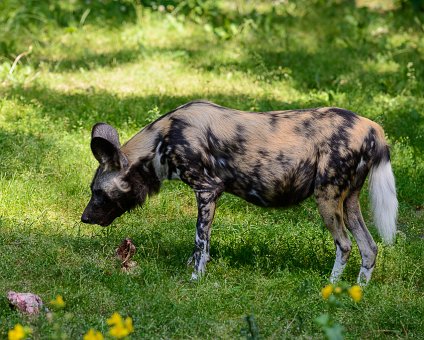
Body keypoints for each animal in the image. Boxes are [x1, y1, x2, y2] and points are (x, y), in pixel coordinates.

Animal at [82, 100, 398, 284]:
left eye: (97, 192)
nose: (84, 218)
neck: (162, 140)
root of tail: (373, 128)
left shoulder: (207, 190)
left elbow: (200, 240)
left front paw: (195, 278)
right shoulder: (211, 195)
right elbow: (203, 244)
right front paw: (195, 268)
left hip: (327, 198)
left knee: (344, 245)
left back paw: (329, 288)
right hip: (349, 202)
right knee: (369, 248)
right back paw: (357, 291)